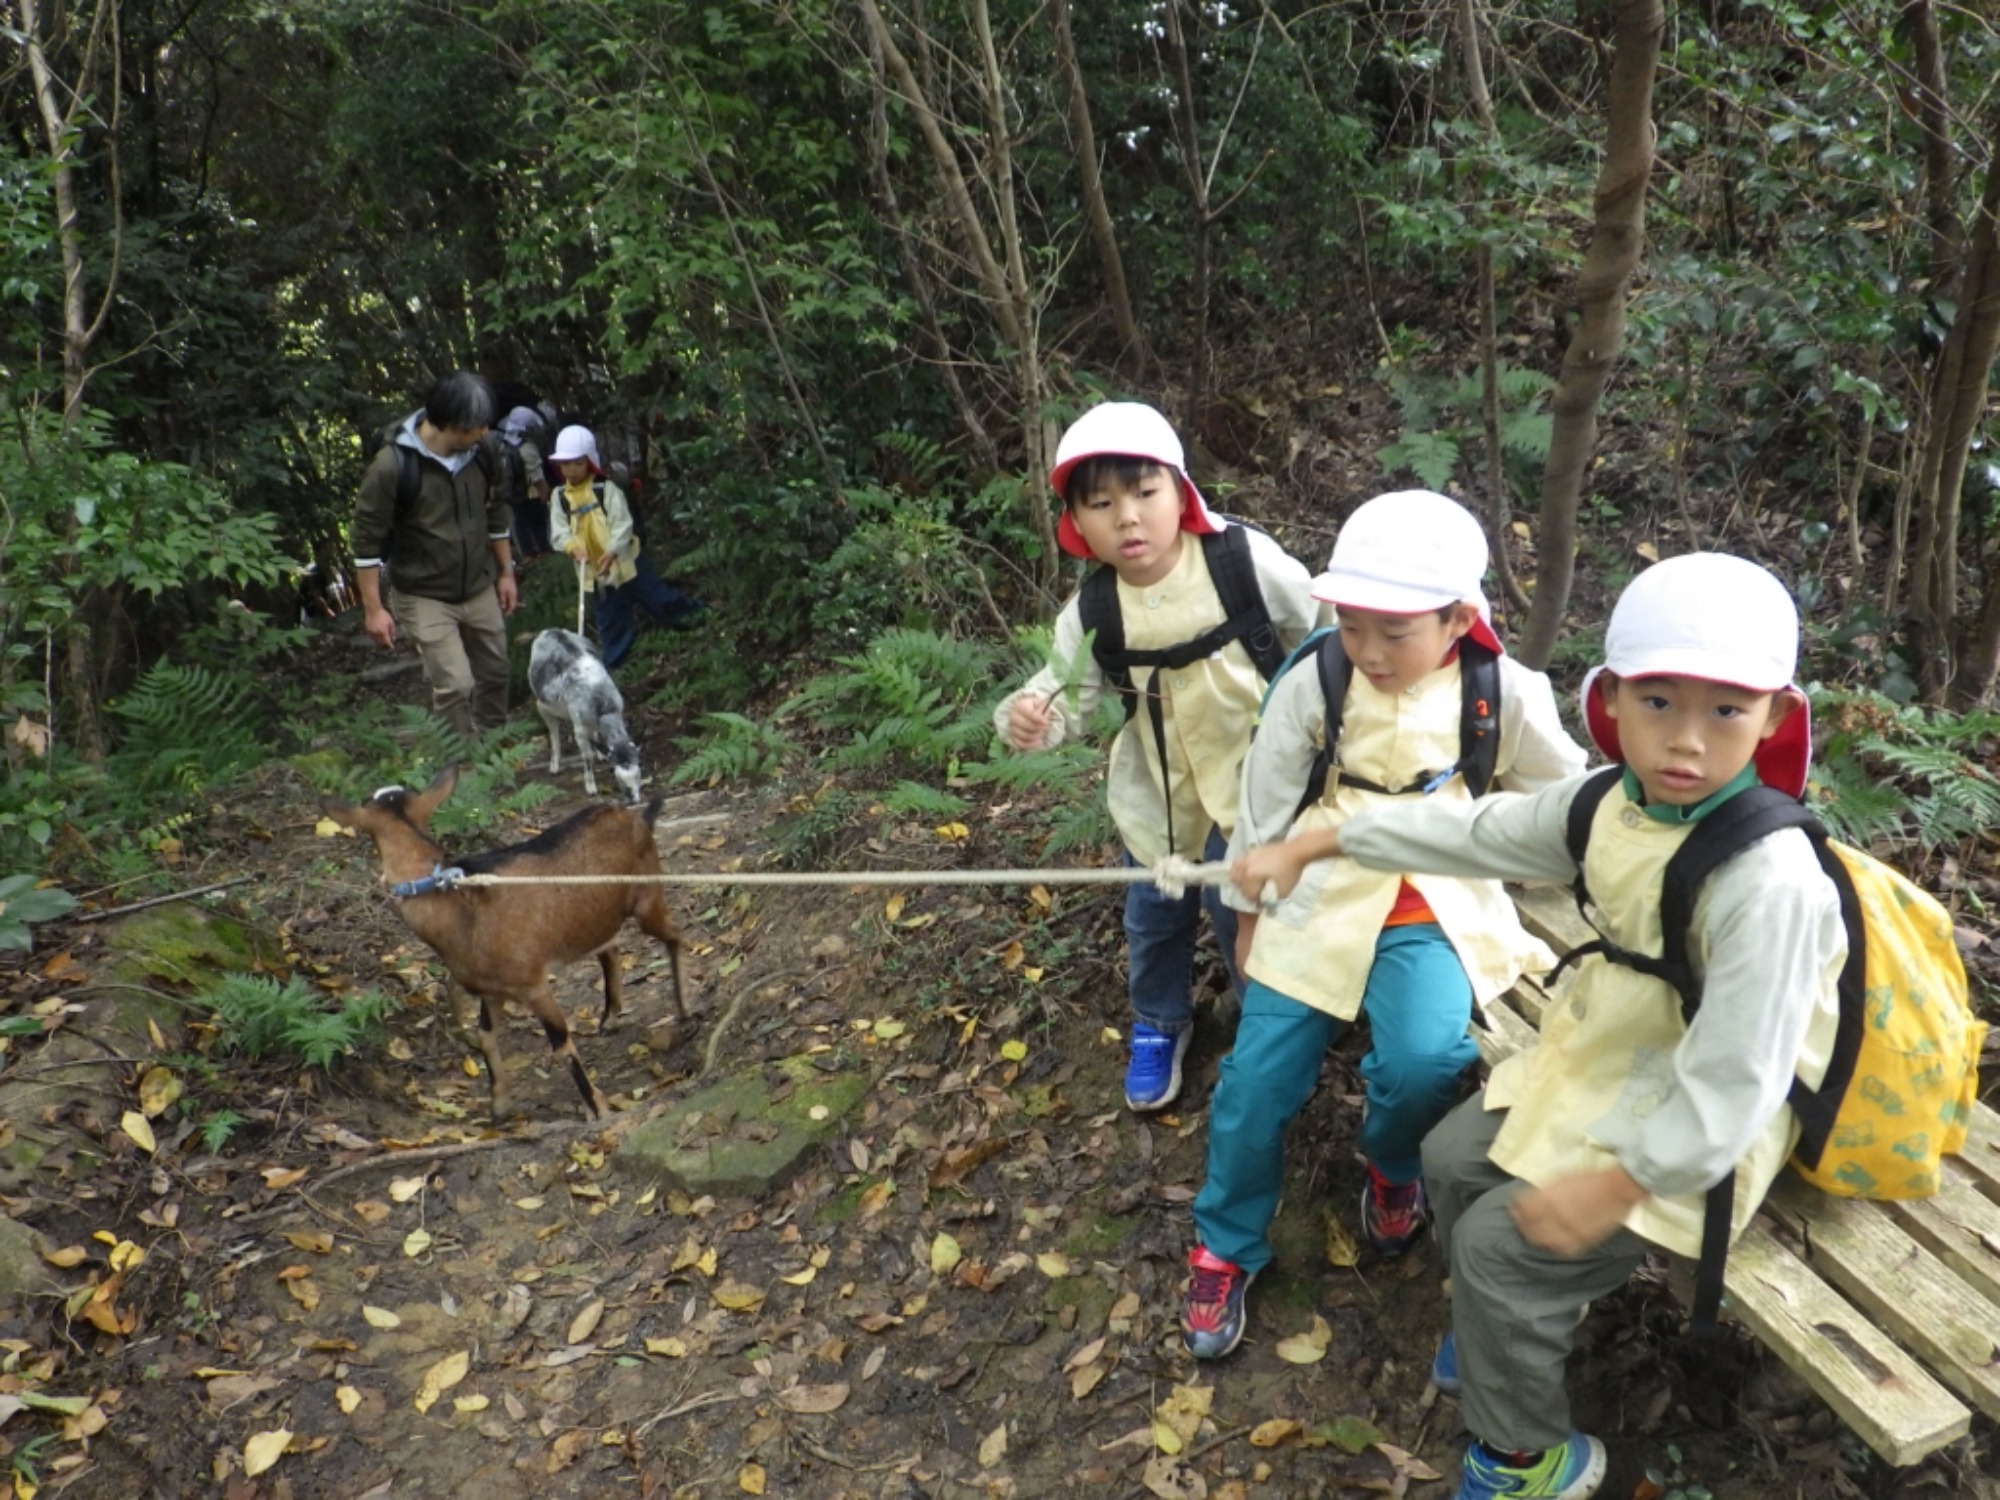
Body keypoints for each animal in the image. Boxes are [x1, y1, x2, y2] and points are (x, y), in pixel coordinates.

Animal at [316, 768, 684, 1120]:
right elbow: (486, 1038)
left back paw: (682, 1009)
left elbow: (562, 1044)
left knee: (674, 936)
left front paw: (599, 1109)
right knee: (611, 947)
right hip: (596, 917)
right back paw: (611, 1018)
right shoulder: (490, 990)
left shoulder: (533, 985)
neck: (461, 910)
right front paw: (500, 1106)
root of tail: (637, 817)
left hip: (648, 896)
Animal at [524, 628, 640, 804]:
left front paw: (600, 753)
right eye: (617, 777)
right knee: (554, 732)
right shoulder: (579, 729)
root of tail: (550, 631)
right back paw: (555, 765)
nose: (634, 800)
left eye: (639, 773)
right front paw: (591, 788)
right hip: (542, 704)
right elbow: (587, 756)